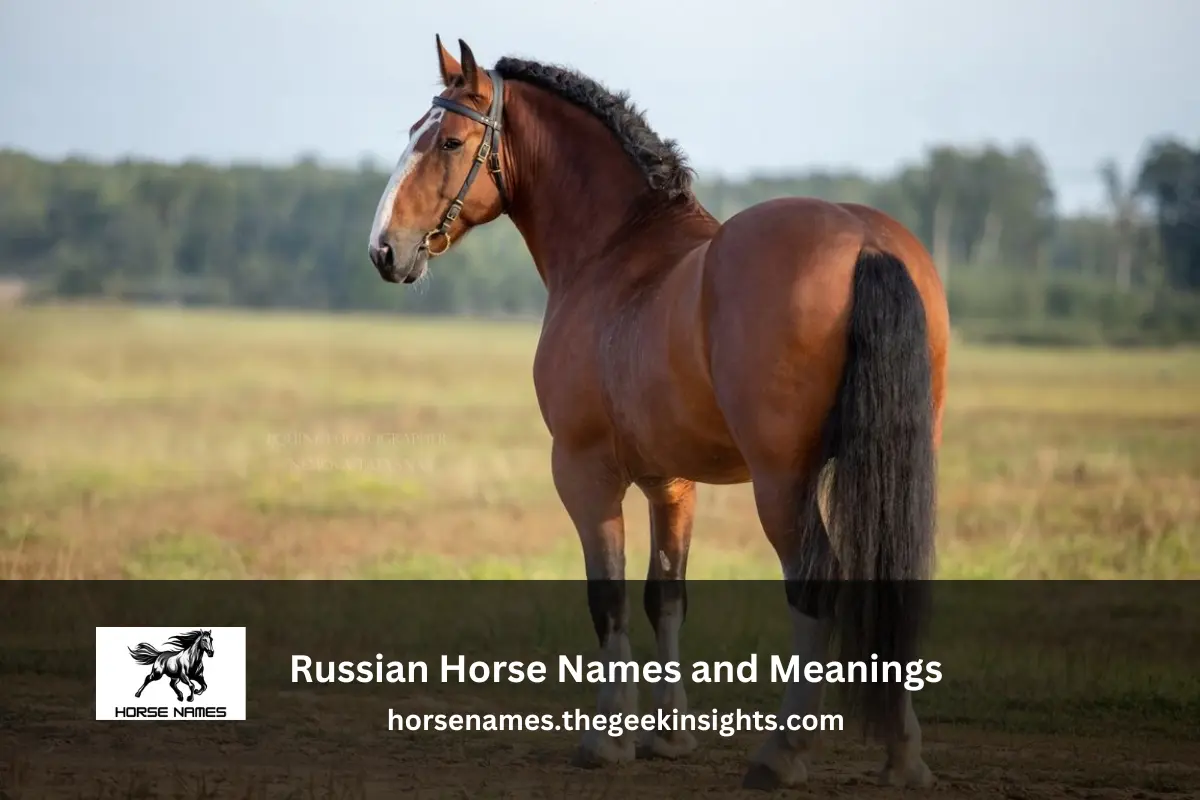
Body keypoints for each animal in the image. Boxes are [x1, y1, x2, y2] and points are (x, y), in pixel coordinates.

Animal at [367, 37, 949, 790]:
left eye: (448, 141)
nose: (384, 249)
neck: (618, 252)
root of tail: (864, 239)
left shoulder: (584, 470)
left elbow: (608, 597)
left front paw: (607, 738)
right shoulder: (671, 482)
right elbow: (665, 594)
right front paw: (668, 735)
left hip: (782, 481)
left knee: (816, 585)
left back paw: (782, 752)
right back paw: (903, 754)